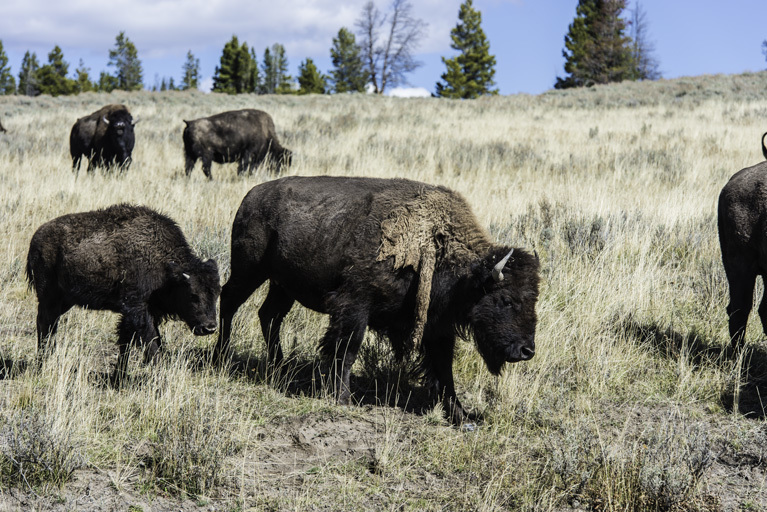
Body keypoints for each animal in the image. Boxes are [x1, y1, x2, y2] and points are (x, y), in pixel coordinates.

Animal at [27, 202, 219, 382]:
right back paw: (42, 363)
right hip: (49, 296)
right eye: (192, 295)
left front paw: (118, 376)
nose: (209, 327)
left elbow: (125, 342)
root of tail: (36, 238)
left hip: (65, 300)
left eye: (217, 294)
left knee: (49, 324)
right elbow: (150, 341)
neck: (166, 268)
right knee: (45, 323)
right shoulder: (137, 309)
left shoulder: (140, 313)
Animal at [214, 176, 540, 424]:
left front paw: (460, 415)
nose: (527, 350)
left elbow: (444, 369)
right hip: (249, 269)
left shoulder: (437, 328)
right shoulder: (354, 306)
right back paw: (221, 356)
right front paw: (342, 398)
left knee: (269, 315)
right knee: (229, 301)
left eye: (533, 299)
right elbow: (347, 349)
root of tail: (251, 196)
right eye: (506, 299)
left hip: (282, 285)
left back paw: (280, 366)